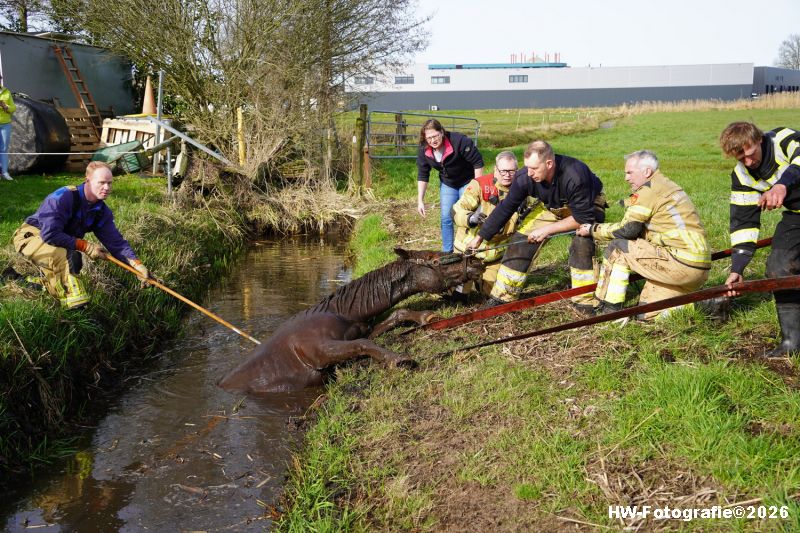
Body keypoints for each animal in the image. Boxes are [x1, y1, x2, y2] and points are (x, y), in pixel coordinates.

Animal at [217, 248, 484, 393]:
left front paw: (426, 316)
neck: (343, 312)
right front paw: (398, 359)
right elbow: (364, 345)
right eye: (433, 258)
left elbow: (395, 316)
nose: (476, 261)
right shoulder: (318, 352)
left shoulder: (362, 328)